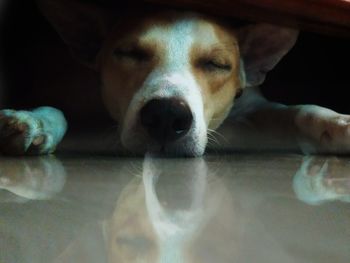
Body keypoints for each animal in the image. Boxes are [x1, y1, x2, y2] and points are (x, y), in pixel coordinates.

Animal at [0, 0, 348, 157]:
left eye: (217, 64)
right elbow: (58, 109)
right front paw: (34, 121)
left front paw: (336, 124)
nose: (167, 115)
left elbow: (296, 111)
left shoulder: (249, 106)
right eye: (128, 53)